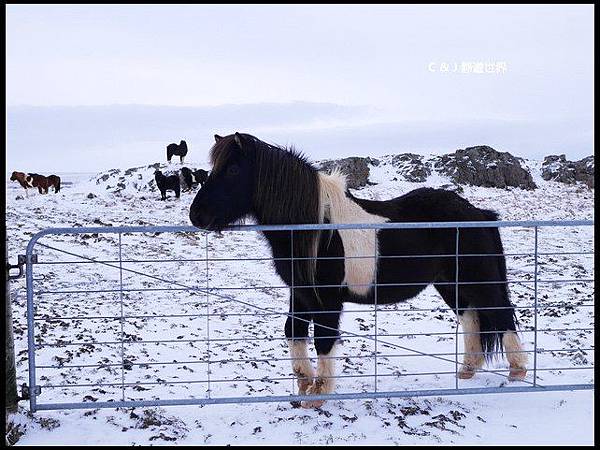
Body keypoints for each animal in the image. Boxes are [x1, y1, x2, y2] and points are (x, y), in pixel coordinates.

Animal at [190, 133, 528, 408]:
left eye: (233, 170)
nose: (197, 215)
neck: (316, 229)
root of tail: (478, 213)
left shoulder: (327, 301)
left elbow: (324, 339)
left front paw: (318, 395)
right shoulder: (300, 294)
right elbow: (293, 331)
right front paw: (304, 384)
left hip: (479, 278)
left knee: (501, 313)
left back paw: (517, 372)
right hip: (449, 283)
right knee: (470, 316)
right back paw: (467, 371)